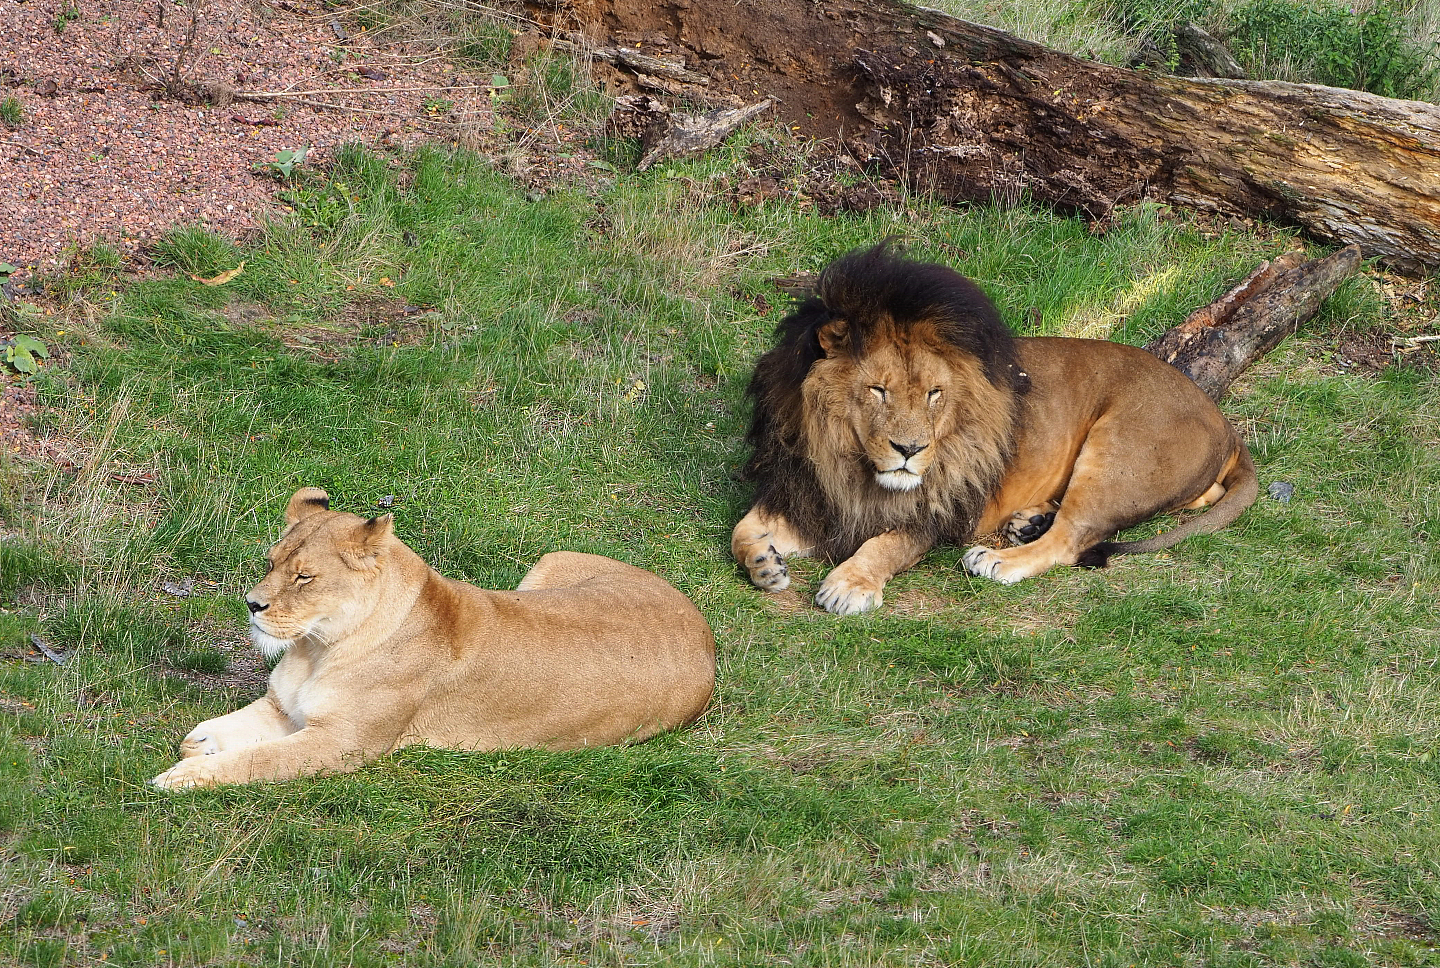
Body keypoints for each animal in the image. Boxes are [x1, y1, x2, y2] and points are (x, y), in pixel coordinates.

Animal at [152, 488, 716, 789]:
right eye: (270, 563)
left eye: (304, 577)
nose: (252, 604)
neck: (318, 647)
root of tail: (705, 630)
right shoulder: (283, 709)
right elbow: (222, 733)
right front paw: (198, 745)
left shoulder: (342, 744)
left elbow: (257, 760)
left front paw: (180, 778)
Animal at [732, 243, 1258, 615]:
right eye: (878, 390)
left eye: (934, 393)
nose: (909, 449)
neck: (845, 457)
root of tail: (1224, 423)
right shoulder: (812, 496)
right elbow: (743, 528)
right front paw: (764, 562)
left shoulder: (936, 513)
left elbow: (886, 544)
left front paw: (849, 584)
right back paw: (1031, 520)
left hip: (1120, 447)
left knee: (1072, 539)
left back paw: (1001, 558)